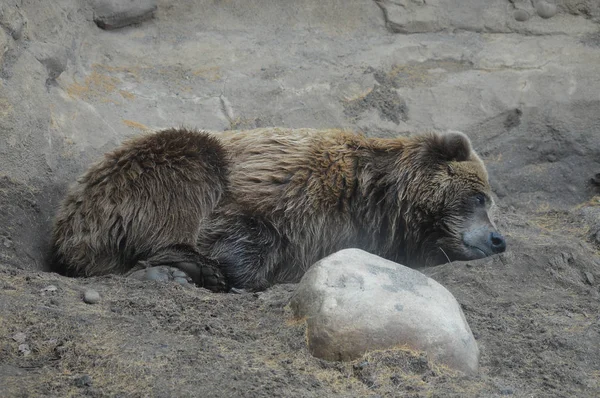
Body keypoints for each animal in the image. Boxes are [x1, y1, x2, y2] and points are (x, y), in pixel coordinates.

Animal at [49, 129, 504, 290]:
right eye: (480, 197)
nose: (498, 239)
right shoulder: (290, 183)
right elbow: (246, 226)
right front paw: (235, 272)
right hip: (136, 176)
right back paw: (191, 267)